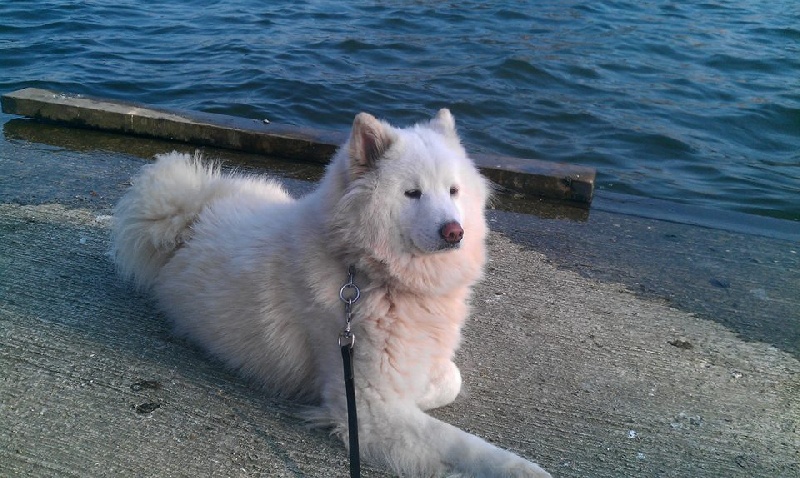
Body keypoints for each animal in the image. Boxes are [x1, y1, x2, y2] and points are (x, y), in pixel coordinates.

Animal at [111, 109, 551, 477]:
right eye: (412, 193)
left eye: (454, 191)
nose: (454, 232)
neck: (366, 273)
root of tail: (191, 217)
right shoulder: (370, 412)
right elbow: (464, 445)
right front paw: (520, 470)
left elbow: (450, 379)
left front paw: (425, 386)